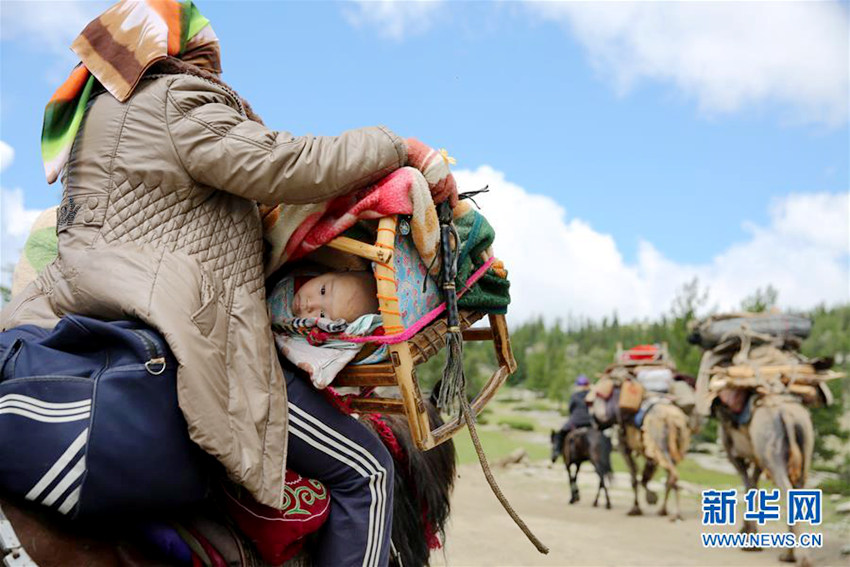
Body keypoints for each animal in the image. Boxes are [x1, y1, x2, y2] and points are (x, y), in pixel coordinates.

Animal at [716, 394, 816, 567]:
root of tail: (788, 414)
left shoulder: (733, 452)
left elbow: (748, 483)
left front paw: (749, 543)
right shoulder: (756, 456)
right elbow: (753, 484)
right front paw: (749, 536)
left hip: (768, 443)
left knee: (786, 488)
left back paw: (802, 559)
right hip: (805, 442)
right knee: (799, 487)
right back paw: (789, 556)